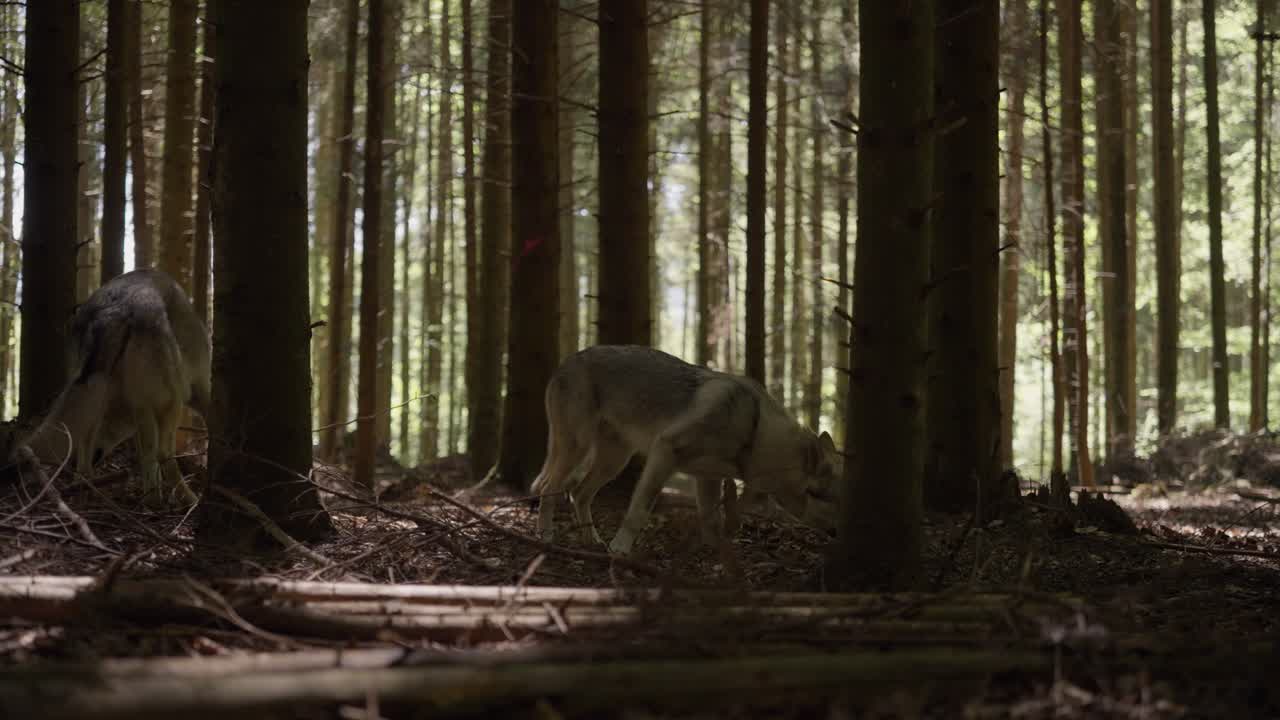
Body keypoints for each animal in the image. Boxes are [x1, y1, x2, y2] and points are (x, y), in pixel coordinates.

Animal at [10, 269, 211, 505]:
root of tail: (116, 307)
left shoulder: (140, 408)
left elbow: (145, 458)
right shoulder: (189, 394)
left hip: (90, 395)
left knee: (88, 453)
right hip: (170, 401)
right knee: (164, 455)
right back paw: (184, 500)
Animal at [531, 345, 839, 556]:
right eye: (829, 498)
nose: (841, 531)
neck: (754, 431)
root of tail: (567, 360)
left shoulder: (708, 478)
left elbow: (711, 521)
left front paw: (718, 556)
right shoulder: (664, 452)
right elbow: (639, 511)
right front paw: (620, 549)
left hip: (614, 462)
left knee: (579, 494)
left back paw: (591, 540)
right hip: (578, 448)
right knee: (549, 488)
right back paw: (545, 535)